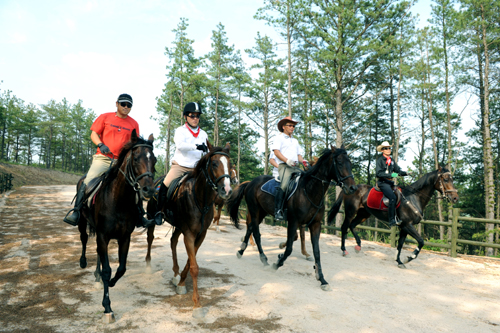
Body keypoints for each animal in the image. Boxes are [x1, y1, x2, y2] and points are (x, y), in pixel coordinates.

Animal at [77, 130, 155, 322]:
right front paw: (107, 307)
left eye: (155, 160)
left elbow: (121, 269)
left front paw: (111, 282)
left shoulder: (124, 237)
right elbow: (107, 270)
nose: (149, 190)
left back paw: (97, 276)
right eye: (136, 158)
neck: (118, 201)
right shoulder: (103, 236)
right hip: (83, 223)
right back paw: (83, 262)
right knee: (83, 239)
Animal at [144, 141, 231, 316]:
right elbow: (194, 267)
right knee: (150, 238)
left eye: (230, 164)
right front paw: (197, 305)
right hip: (152, 218)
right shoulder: (189, 234)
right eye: (214, 163)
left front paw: (181, 282)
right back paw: (149, 265)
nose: (226, 190)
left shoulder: (200, 234)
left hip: (179, 227)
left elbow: (191, 262)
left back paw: (176, 274)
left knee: (173, 242)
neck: (200, 199)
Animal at [227, 145, 356, 290]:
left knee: (250, 228)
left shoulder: (315, 224)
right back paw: (264, 259)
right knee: (256, 233)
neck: (309, 191)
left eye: (350, 163)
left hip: (262, 212)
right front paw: (277, 263)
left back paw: (241, 251)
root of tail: (250, 183)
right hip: (255, 211)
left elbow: (316, 251)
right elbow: (289, 248)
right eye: (339, 163)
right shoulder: (293, 222)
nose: (353, 188)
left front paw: (322, 279)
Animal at [328, 166, 460, 268]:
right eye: (446, 179)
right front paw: (409, 257)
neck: (413, 197)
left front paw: (399, 261)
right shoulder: (408, 225)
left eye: (453, 179)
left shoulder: (404, 227)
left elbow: (400, 244)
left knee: (352, 225)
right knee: (344, 227)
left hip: (363, 214)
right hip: (351, 212)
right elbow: (421, 242)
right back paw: (344, 250)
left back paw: (358, 246)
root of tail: (350, 188)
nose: (455, 198)